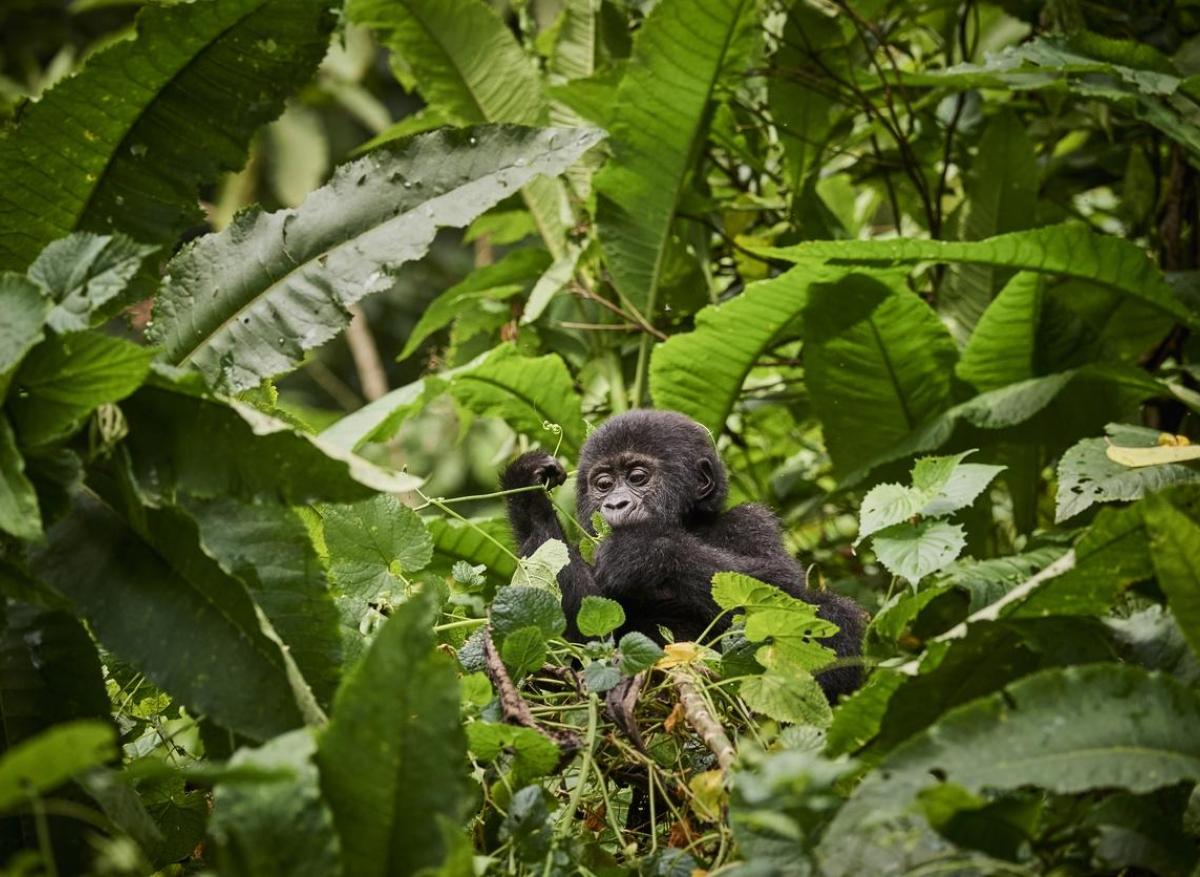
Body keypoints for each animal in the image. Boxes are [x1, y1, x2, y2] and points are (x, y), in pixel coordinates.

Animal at [504, 410, 864, 700]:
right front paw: (529, 494)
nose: (616, 504)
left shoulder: (753, 520)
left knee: (832, 615)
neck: (689, 522)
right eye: (603, 484)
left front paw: (641, 550)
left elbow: (781, 590)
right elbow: (584, 633)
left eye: (637, 477)